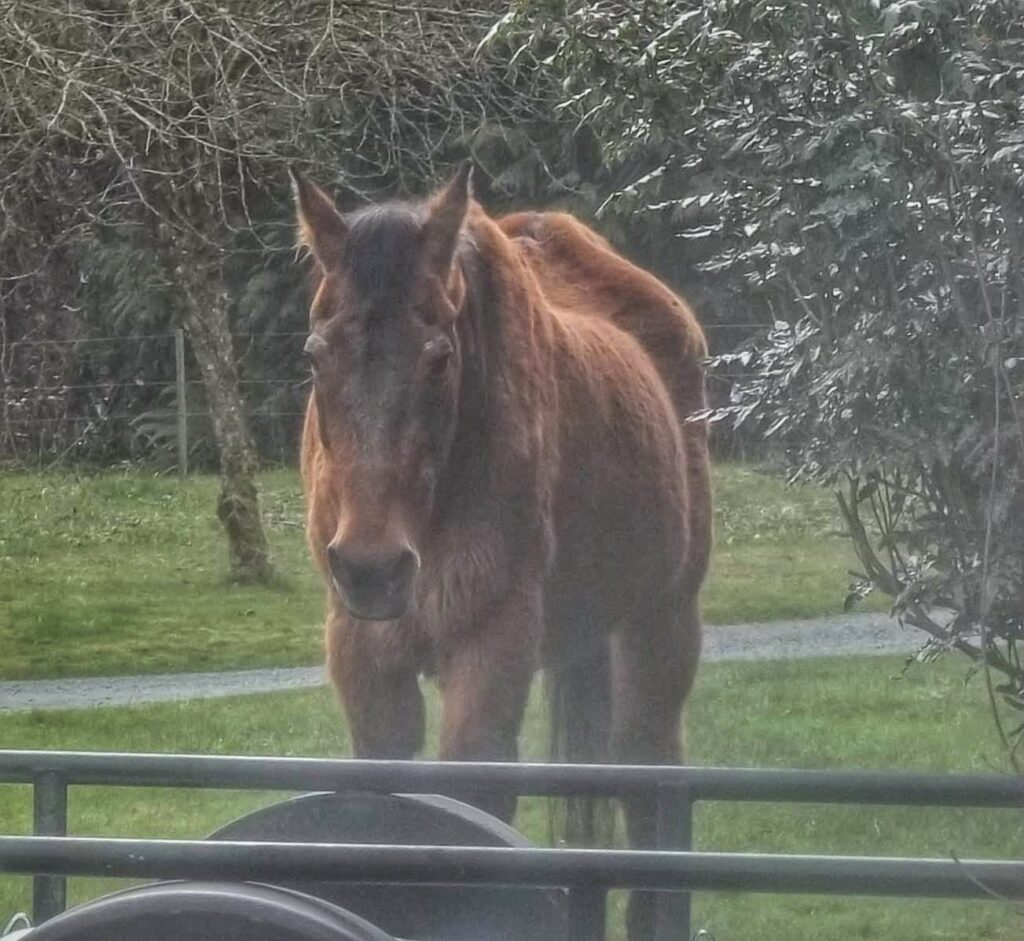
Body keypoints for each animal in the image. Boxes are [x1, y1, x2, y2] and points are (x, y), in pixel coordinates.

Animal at [290, 165, 712, 937]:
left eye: (439, 358)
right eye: (315, 356)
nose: (372, 568)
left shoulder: (491, 645)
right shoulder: (364, 655)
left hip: (662, 625)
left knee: (650, 778)